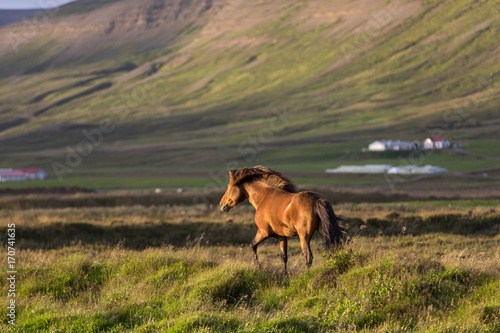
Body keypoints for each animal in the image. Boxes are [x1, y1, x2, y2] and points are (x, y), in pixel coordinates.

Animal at [219, 165, 348, 272]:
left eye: (229, 186)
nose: (221, 205)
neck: (263, 197)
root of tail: (317, 200)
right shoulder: (282, 236)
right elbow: (284, 257)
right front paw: (285, 277)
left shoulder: (263, 232)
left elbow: (252, 245)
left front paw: (258, 266)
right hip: (323, 230)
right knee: (334, 247)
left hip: (304, 236)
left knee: (308, 257)